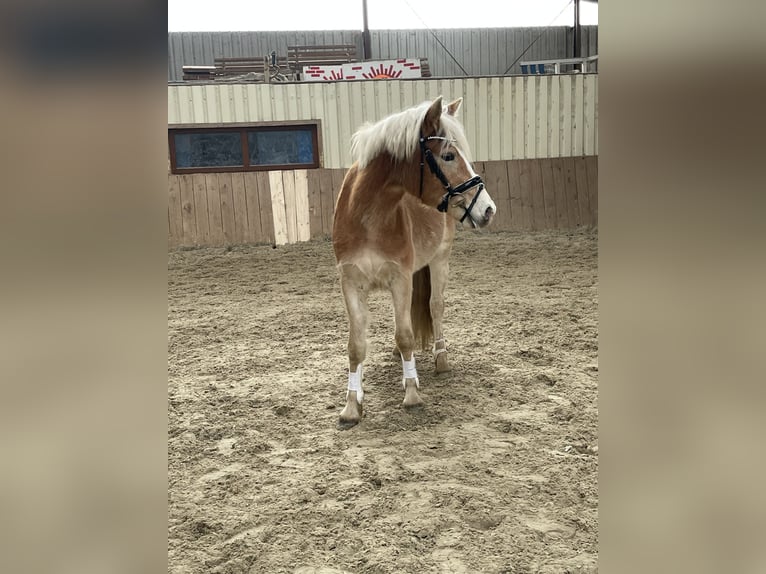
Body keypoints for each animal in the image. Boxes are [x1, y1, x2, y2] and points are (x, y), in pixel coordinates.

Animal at [332, 96, 496, 427]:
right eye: (448, 155)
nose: (487, 209)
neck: (367, 217)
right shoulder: (351, 283)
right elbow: (356, 345)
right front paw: (352, 405)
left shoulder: (401, 278)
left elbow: (406, 335)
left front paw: (411, 394)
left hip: (440, 260)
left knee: (435, 307)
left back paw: (440, 359)